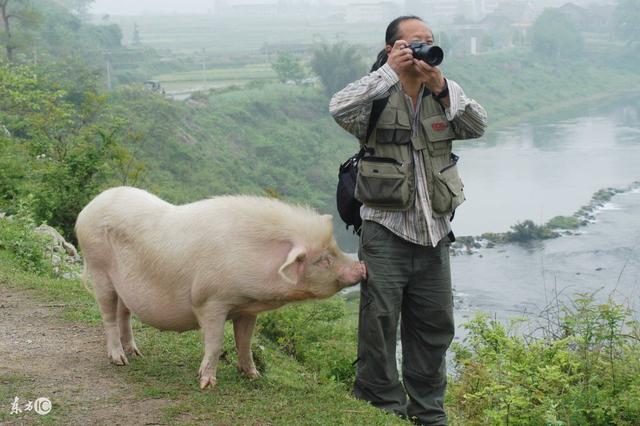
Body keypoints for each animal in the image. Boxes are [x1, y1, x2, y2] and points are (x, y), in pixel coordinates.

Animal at [75, 186, 364, 390]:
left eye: (336, 247)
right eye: (323, 259)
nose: (361, 267)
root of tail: (86, 209)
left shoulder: (247, 308)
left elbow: (245, 343)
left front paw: (254, 376)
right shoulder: (210, 301)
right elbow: (214, 343)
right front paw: (206, 383)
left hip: (124, 285)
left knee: (124, 313)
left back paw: (136, 353)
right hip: (99, 268)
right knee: (108, 315)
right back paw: (119, 360)